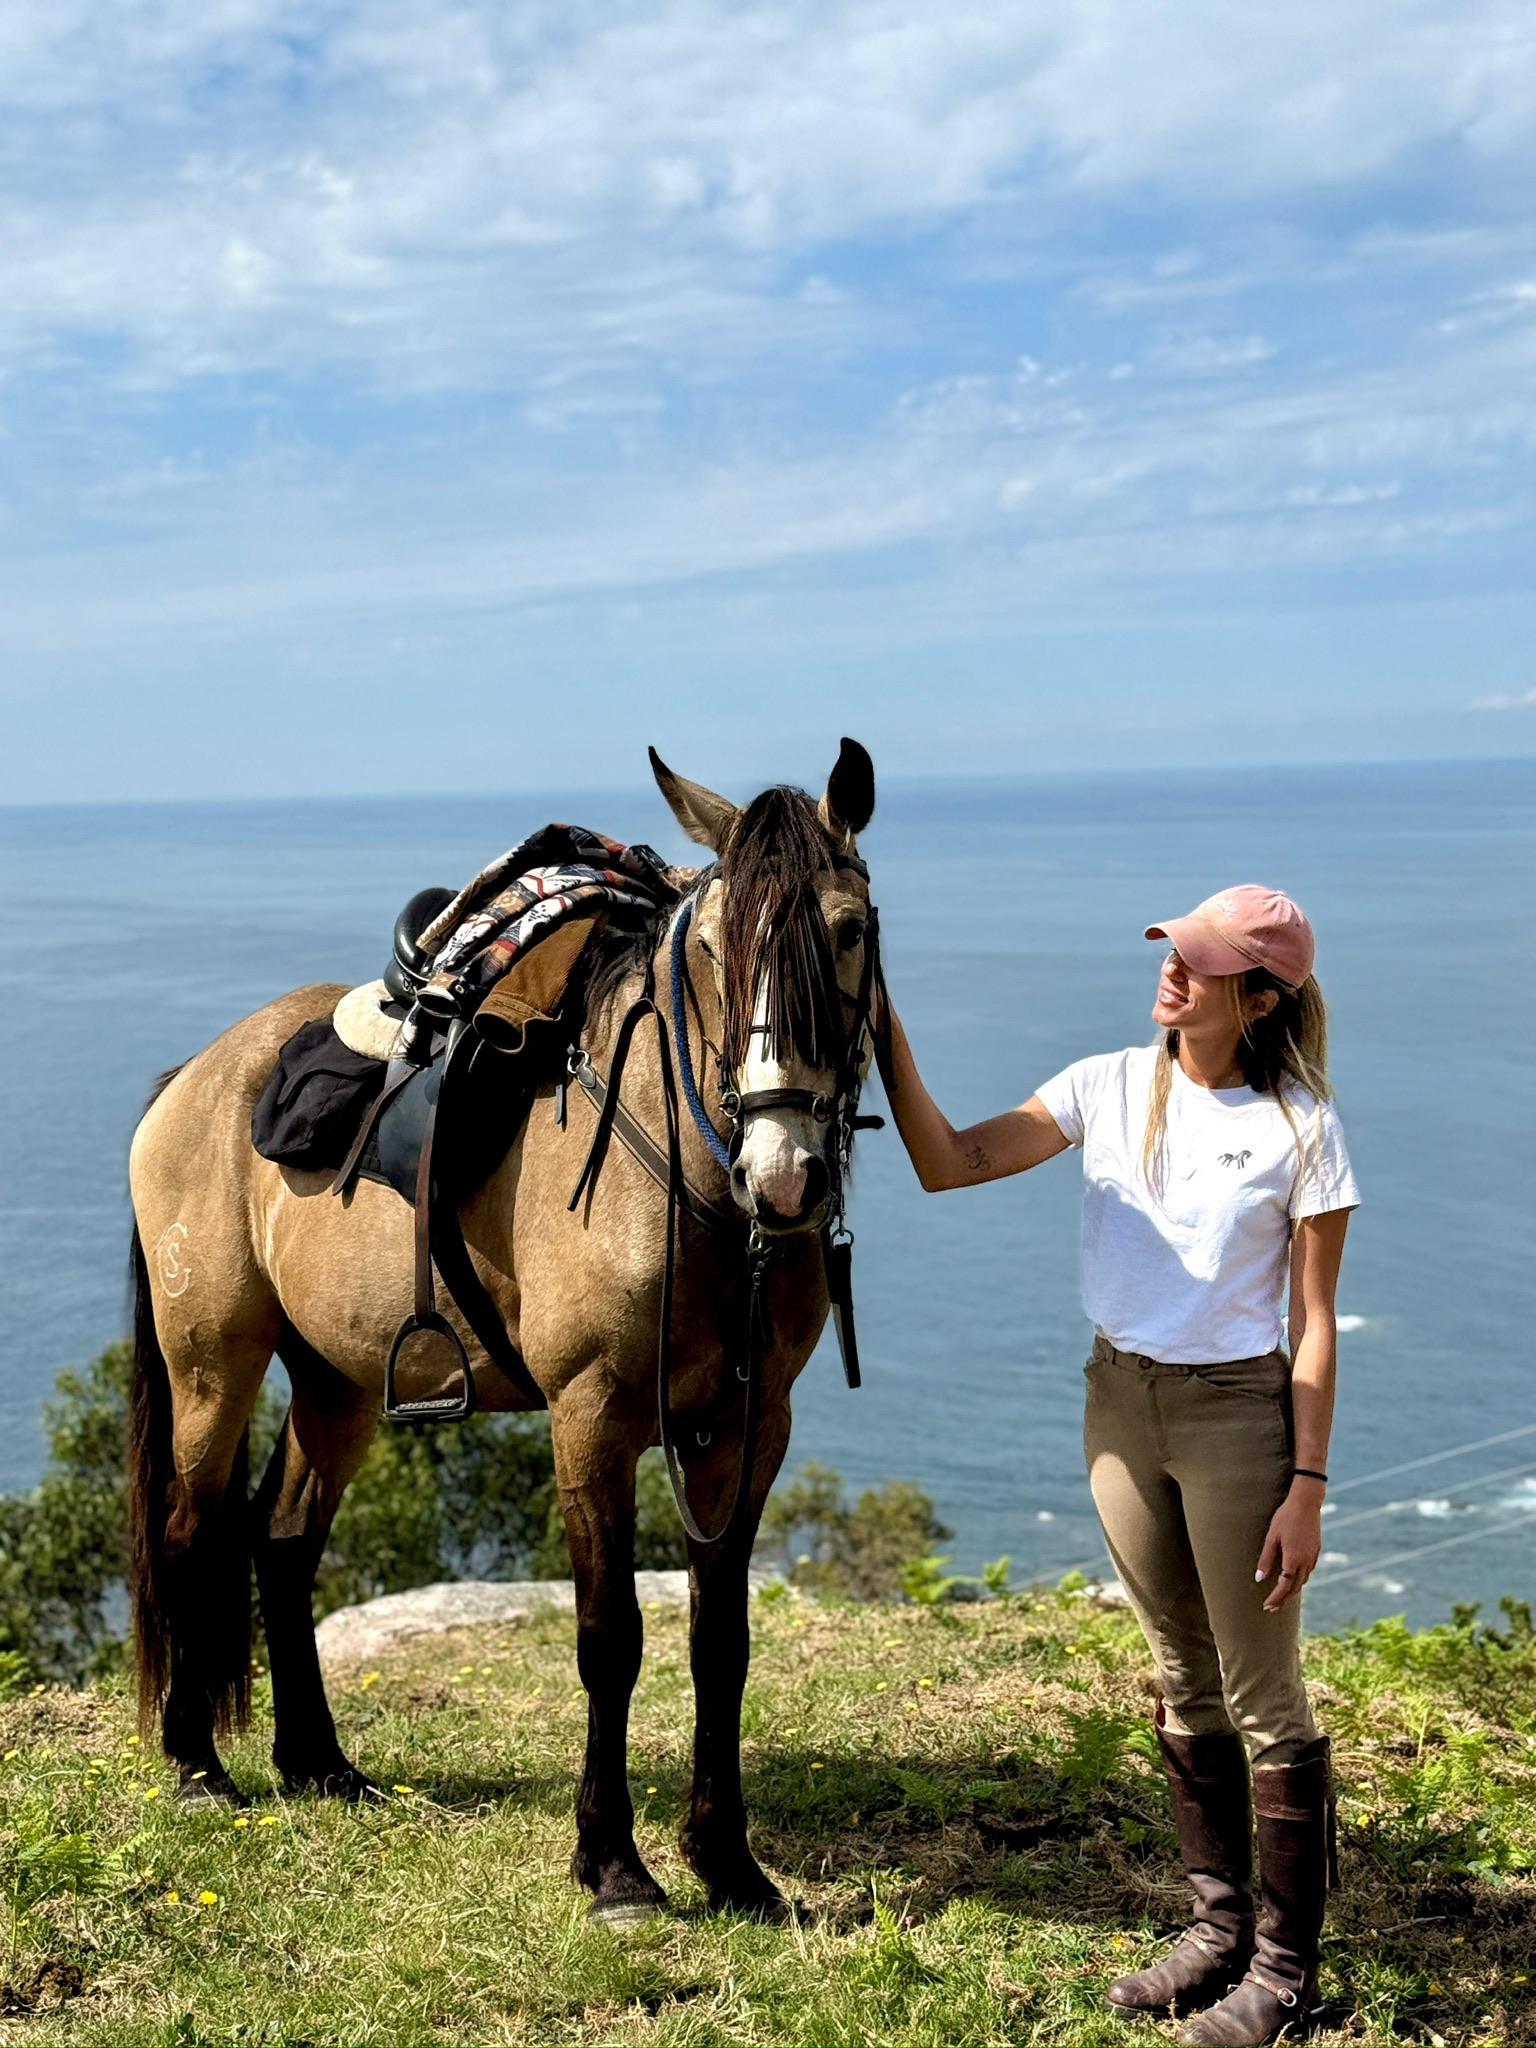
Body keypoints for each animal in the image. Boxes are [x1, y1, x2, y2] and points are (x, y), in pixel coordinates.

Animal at [126, 740, 879, 1921]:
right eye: (715, 946)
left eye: (848, 929)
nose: (785, 1172)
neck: (684, 1174)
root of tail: (193, 1080)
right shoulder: (593, 1419)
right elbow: (610, 1637)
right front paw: (613, 1862)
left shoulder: (749, 1431)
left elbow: (722, 1640)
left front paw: (729, 1861)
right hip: (212, 1368)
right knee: (189, 1534)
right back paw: (199, 1766)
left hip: (336, 1383)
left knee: (283, 1541)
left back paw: (320, 1763)